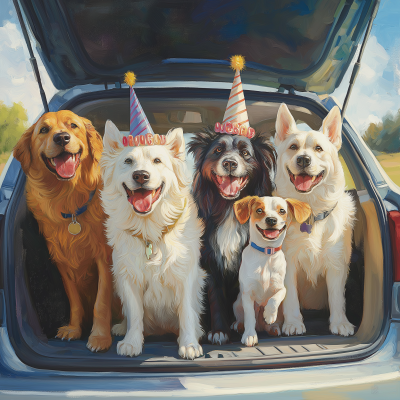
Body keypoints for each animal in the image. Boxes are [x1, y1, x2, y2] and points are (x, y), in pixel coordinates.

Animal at [100, 121, 206, 360]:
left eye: (157, 161)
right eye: (128, 161)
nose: (141, 176)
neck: (149, 231)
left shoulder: (185, 276)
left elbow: (187, 312)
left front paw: (189, 344)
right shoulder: (128, 277)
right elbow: (135, 314)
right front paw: (131, 342)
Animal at [230, 195, 310, 346]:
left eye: (282, 211)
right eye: (259, 210)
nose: (271, 220)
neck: (266, 255)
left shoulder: (281, 288)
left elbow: (274, 299)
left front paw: (269, 314)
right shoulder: (247, 294)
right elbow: (250, 316)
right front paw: (249, 335)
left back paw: (272, 327)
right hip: (237, 303)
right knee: (242, 318)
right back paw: (239, 325)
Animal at [276, 103, 356, 338]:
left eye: (319, 149)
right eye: (293, 147)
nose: (303, 159)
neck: (309, 211)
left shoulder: (336, 264)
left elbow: (337, 298)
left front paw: (340, 323)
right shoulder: (288, 262)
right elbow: (290, 297)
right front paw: (293, 323)